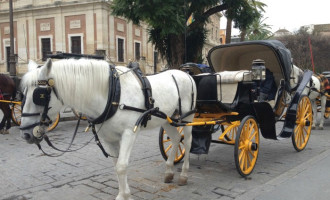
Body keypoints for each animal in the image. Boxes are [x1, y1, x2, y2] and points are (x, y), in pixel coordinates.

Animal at [20, 58, 196, 199]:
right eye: (23, 94)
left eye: (39, 95)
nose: (26, 134)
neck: (112, 94)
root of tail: (186, 75)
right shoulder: (109, 138)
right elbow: (116, 165)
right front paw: (124, 194)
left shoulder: (129, 133)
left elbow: (122, 166)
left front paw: (125, 195)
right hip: (167, 119)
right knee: (175, 139)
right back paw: (169, 171)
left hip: (187, 118)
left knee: (187, 142)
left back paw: (184, 175)